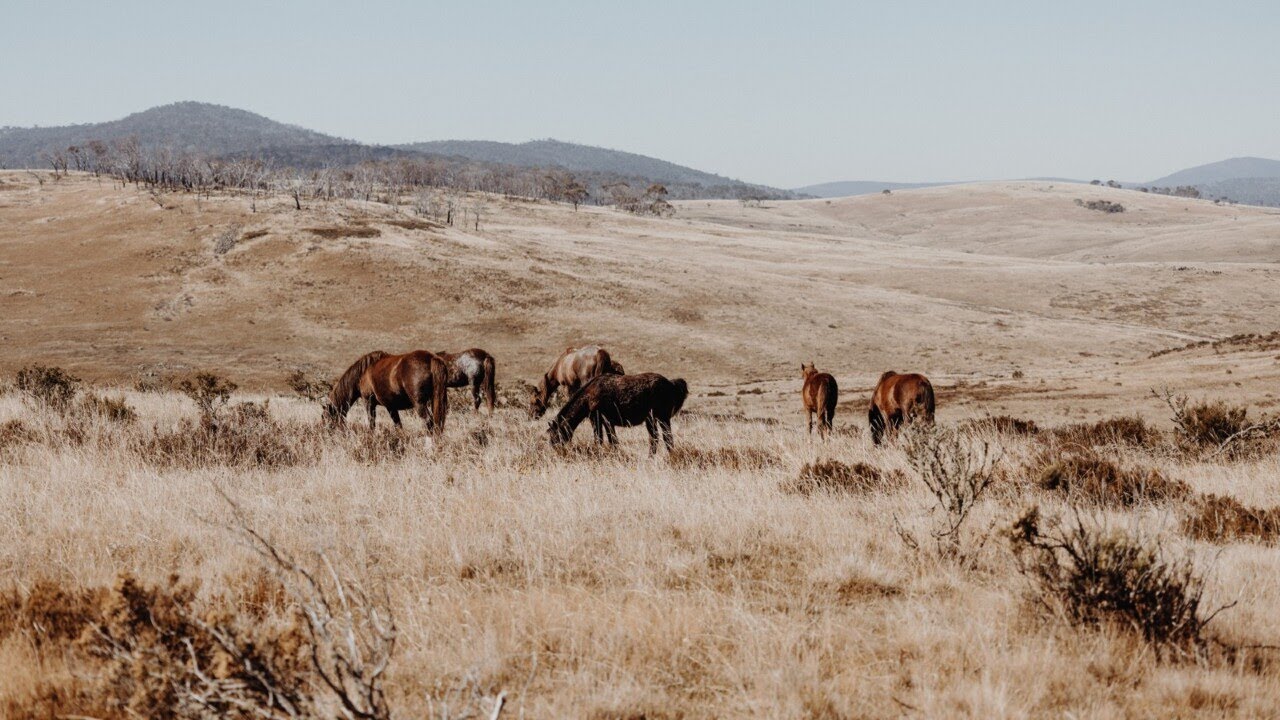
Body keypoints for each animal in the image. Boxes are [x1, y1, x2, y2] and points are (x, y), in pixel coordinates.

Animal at [550, 371, 691, 450]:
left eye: (555, 434)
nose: (554, 448)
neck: (589, 396)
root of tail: (671, 383)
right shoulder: (600, 421)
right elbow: (608, 440)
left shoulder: (603, 420)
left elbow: (605, 440)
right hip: (652, 419)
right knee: (657, 438)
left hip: (661, 417)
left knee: (665, 438)